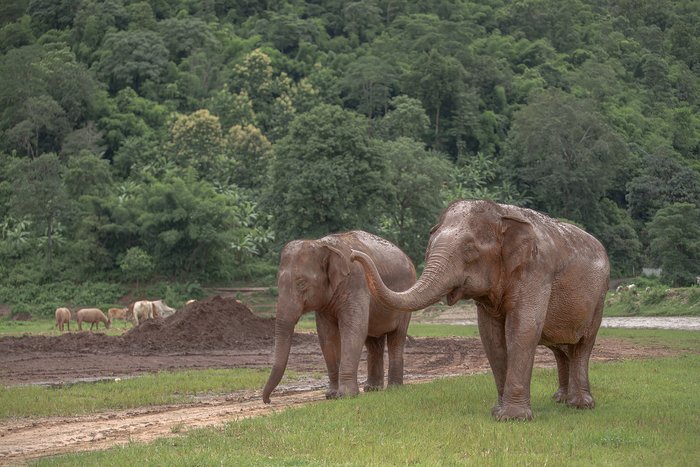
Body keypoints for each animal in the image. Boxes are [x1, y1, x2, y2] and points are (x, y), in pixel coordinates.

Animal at [262, 230, 416, 404]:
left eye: (301, 283)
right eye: (278, 283)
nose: (268, 400)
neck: (323, 245)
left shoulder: (357, 283)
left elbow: (353, 330)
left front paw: (347, 395)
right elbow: (326, 335)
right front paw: (331, 395)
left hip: (405, 300)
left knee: (396, 337)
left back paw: (393, 388)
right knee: (373, 342)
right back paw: (372, 389)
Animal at [350, 200, 610, 421]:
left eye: (469, 249)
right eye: (428, 249)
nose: (353, 255)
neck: (501, 213)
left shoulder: (537, 269)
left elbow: (522, 329)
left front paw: (512, 418)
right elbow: (491, 336)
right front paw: (498, 412)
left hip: (599, 299)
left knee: (582, 345)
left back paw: (580, 405)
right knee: (561, 349)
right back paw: (560, 400)